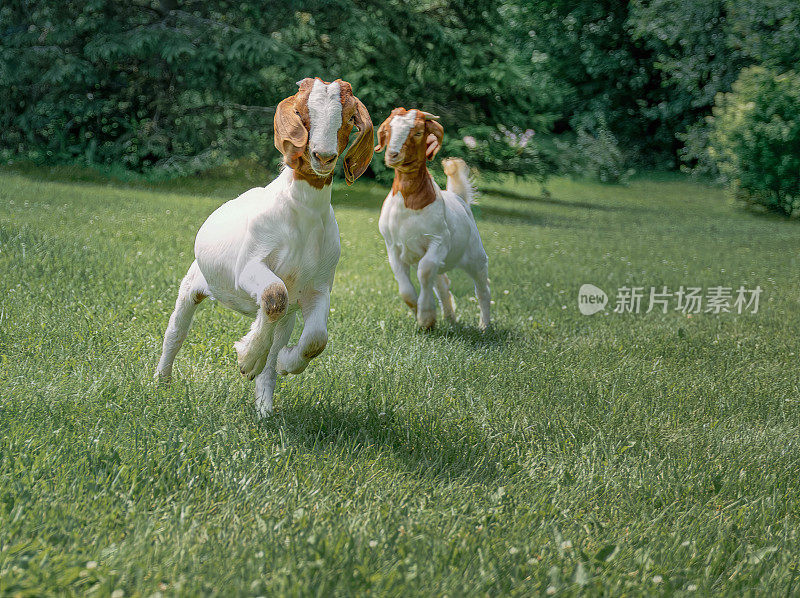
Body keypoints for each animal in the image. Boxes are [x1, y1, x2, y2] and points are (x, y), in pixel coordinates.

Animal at [156, 78, 376, 418]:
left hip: (288, 316)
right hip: (194, 282)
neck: (302, 214)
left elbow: (316, 339)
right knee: (176, 331)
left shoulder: (318, 287)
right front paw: (247, 358)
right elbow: (274, 295)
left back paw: (265, 407)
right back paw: (161, 382)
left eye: (350, 118)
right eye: (300, 112)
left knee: (274, 346)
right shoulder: (250, 265)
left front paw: (282, 361)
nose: (323, 156)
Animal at [376, 108, 494, 332]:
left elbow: (424, 272)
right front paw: (421, 314)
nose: (393, 154)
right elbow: (406, 288)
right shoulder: (392, 246)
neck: (409, 203)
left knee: (482, 289)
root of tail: (458, 197)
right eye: (387, 129)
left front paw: (426, 316)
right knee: (442, 283)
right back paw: (451, 318)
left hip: (476, 256)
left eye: (418, 132)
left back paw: (485, 326)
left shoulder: (439, 240)